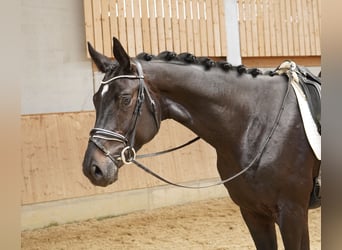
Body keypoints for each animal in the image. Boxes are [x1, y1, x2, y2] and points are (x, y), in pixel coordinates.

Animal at [82, 37, 320, 250]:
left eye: (125, 99)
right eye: (95, 99)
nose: (93, 168)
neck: (256, 122)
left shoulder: (292, 214)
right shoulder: (253, 213)